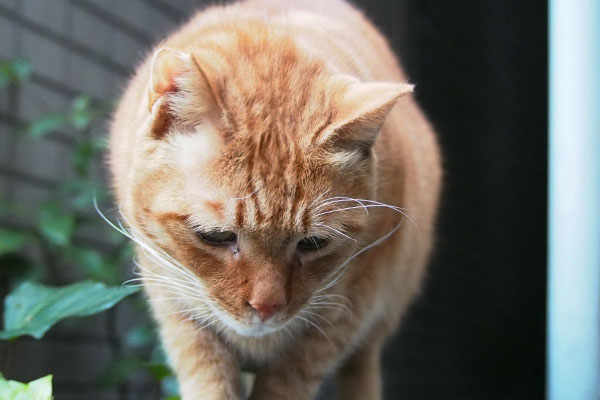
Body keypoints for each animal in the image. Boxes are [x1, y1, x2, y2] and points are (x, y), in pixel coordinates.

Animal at [109, 0, 440, 396]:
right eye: (216, 236)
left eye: (313, 243)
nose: (266, 308)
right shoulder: (171, 296)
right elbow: (207, 374)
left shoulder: (346, 310)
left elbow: (287, 380)